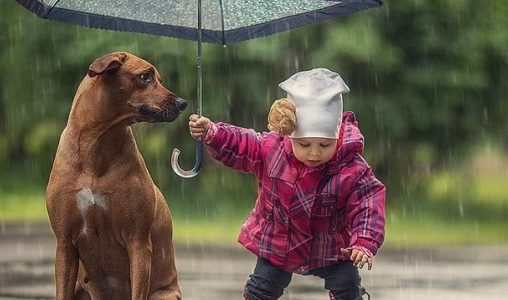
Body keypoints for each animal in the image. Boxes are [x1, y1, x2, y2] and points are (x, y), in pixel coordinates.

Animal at [46, 52, 186, 298]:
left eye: (159, 79)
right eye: (145, 76)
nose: (182, 103)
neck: (97, 146)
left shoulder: (138, 243)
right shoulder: (64, 244)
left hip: (164, 294)